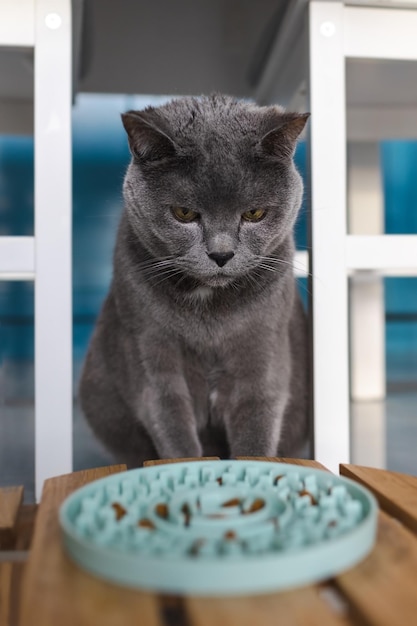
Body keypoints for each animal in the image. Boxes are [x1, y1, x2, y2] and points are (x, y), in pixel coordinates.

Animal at [80, 92, 308, 464]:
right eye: (184, 213)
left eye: (254, 213)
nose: (221, 254)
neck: (209, 310)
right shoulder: (151, 353)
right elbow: (172, 428)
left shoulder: (262, 352)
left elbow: (256, 431)